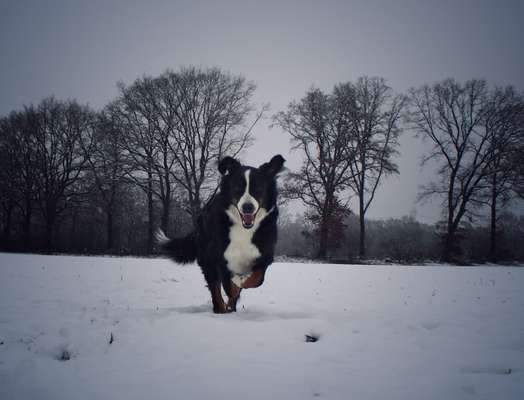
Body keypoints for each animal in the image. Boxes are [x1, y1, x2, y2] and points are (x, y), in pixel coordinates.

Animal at [158, 153, 284, 312]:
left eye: (259, 188)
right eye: (237, 188)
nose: (247, 207)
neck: (243, 229)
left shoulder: (264, 255)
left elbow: (255, 279)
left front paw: (240, 282)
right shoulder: (219, 257)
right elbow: (228, 286)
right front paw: (233, 288)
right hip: (207, 257)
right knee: (215, 288)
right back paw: (220, 308)